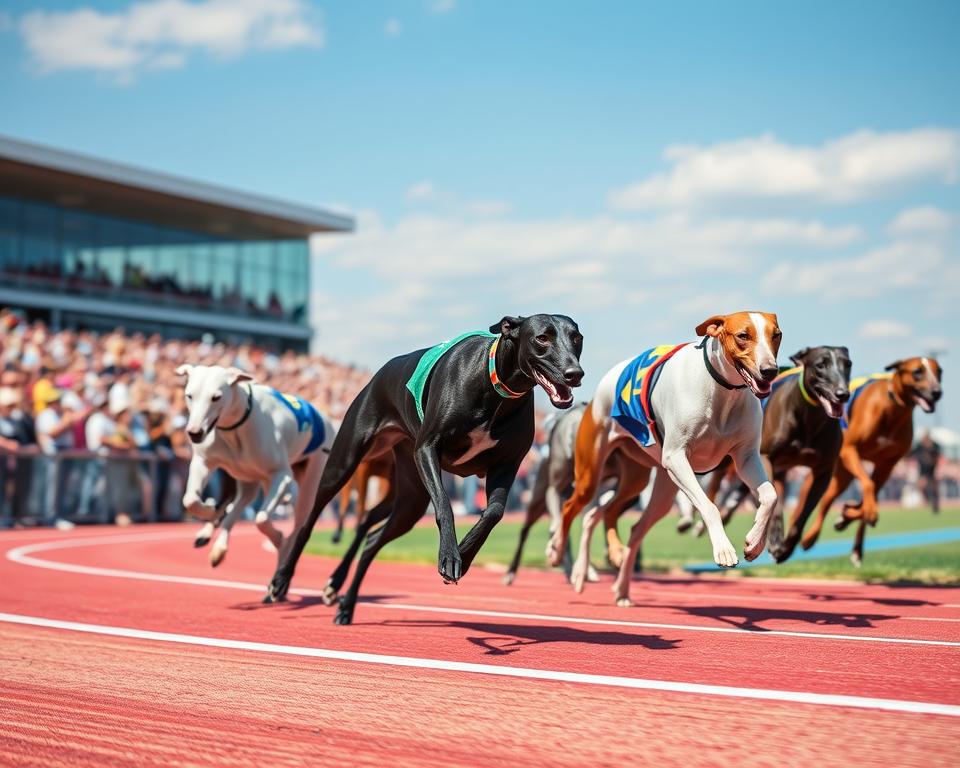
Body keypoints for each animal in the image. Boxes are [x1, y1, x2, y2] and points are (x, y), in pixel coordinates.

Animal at [178, 366, 336, 568]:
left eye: (216, 397)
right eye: (189, 395)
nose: (194, 433)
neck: (236, 426)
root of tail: (328, 421)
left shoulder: (281, 475)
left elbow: (261, 519)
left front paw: (278, 537)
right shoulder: (204, 462)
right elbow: (190, 500)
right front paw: (209, 511)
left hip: (309, 484)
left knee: (298, 524)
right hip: (248, 480)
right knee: (237, 503)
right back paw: (216, 541)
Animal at [262, 316, 584, 620]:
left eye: (577, 338)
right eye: (542, 338)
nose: (575, 374)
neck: (495, 386)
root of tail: (381, 372)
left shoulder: (507, 465)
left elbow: (493, 513)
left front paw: (465, 553)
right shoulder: (427, 448)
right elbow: (444, 504)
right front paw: (450, 555)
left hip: (410, 498)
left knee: (372, 539)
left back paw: (345, 603)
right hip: (344, 462)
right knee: (310, 520)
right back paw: (281, 581)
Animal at [548, 312, 780, 608]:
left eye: (776, 335)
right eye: (743, 336)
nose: (770, 370)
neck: (721, 391)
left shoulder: (746, 456)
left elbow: (770, 496)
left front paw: (754, 543)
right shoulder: (676, 458)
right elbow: (710, 507)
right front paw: (724, 549)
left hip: (645, 483)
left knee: (614, 519)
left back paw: (620, 584)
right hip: (592, 471)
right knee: (572, 508)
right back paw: (564, 559)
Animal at [800, 356, 940, 564]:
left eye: (939, 372)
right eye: (917, 372)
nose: (937, 392)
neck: (892, 408)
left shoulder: (887, 464)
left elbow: (870, 495)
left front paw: (849, 515)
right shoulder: (849, 450)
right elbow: (867, 485)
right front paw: (859, 513)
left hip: (845, 472)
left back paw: (853, 537)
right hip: (840, 467)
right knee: (824, 500)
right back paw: (809, 537)